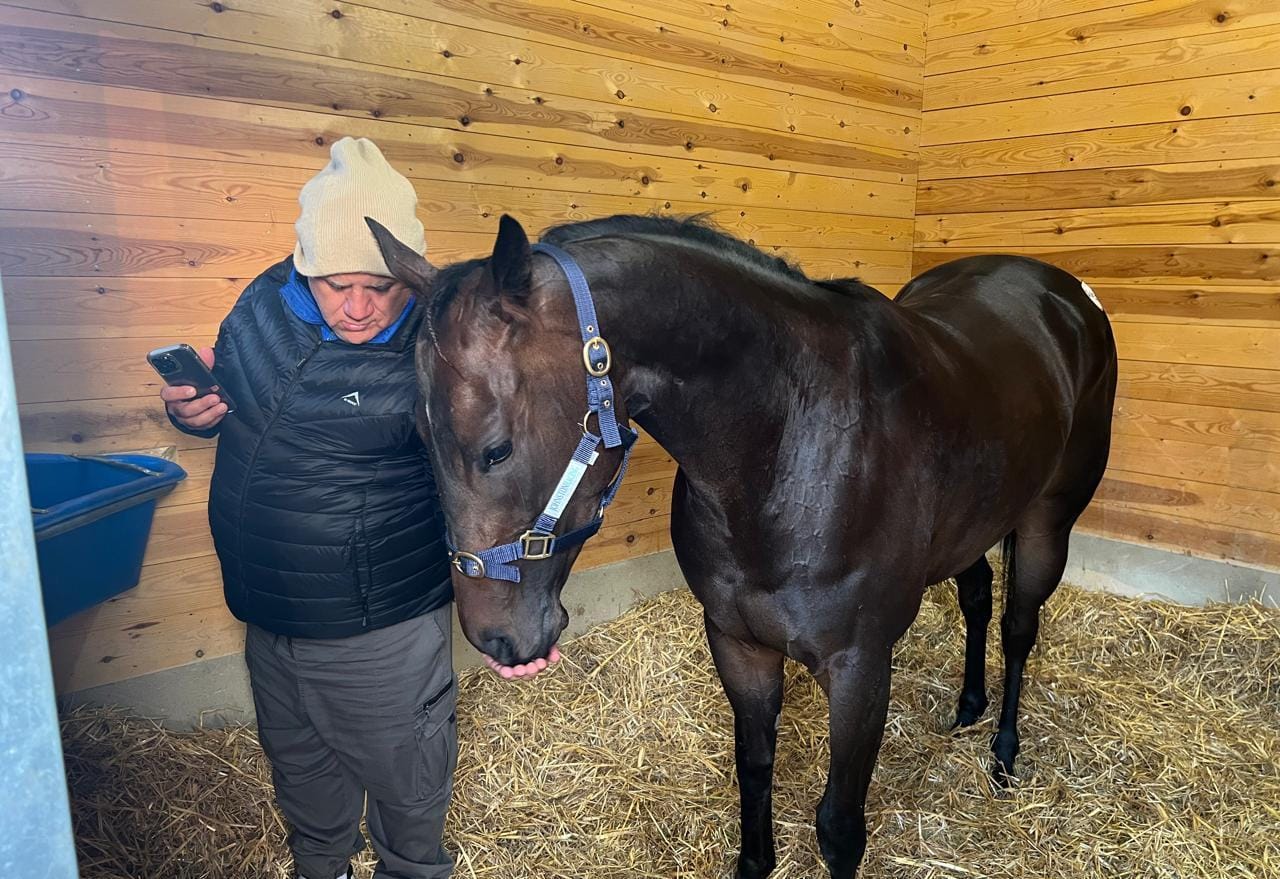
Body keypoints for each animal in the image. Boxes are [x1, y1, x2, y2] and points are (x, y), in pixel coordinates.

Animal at [368, 214, 1111, 879]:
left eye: (495, 449)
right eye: (417, 436)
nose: (493, 637)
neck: (787, 444)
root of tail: (1065, 292)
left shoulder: (860, 668)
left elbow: (840, 827)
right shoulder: (737, 643)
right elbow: (753, 771)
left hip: (1046, 524)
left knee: (1018, 627)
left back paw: (1004, 754)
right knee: (979, 595)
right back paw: (966, 707)